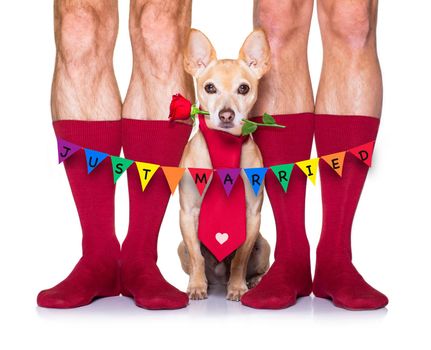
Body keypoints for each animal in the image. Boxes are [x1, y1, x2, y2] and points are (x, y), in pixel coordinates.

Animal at [177, 28, 272, 300]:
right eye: (210, 88)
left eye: (243, 88)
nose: (226, 114)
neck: (224, 145)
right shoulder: (188, 213)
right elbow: (197, 257)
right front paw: (197, 286)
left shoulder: (252, 215)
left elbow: (240, 258)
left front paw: (238, 287)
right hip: (180, 247)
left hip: (263, 244)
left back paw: (253, 282)